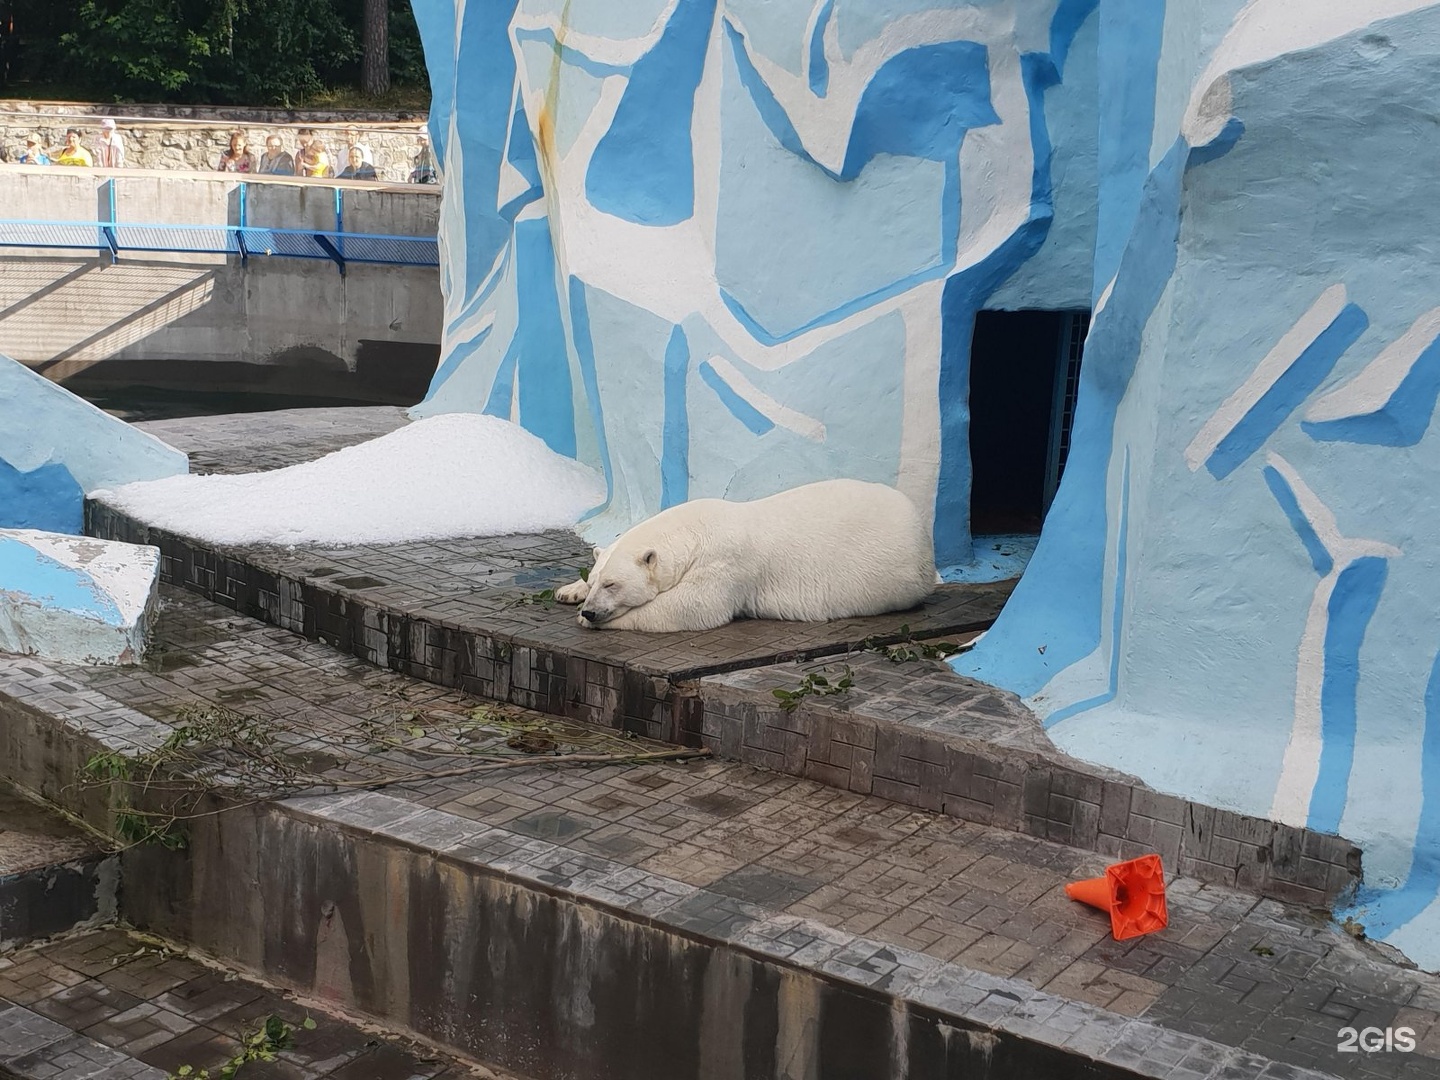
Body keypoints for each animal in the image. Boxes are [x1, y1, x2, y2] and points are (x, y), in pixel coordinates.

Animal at [550, 480, 933, 633]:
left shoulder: (727, 564)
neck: (695, 531)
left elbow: (693, 607)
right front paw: (568, 591)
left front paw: (596, 620)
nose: (592, 610)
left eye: (613, 585)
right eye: (596, 581)